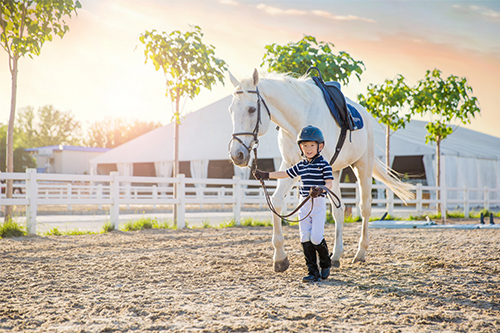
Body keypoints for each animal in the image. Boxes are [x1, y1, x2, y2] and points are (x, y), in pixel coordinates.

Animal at [228, 68, 414, 272]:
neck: (299, 120)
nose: (236, 155)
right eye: (231, 110)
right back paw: (337, 255)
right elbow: (276, 202)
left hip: (362, 166)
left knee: (365, 208)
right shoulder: (290, 165)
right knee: (339, 211)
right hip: (336, 172)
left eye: (251, 109)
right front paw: (280, 258)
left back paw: (360, 253)